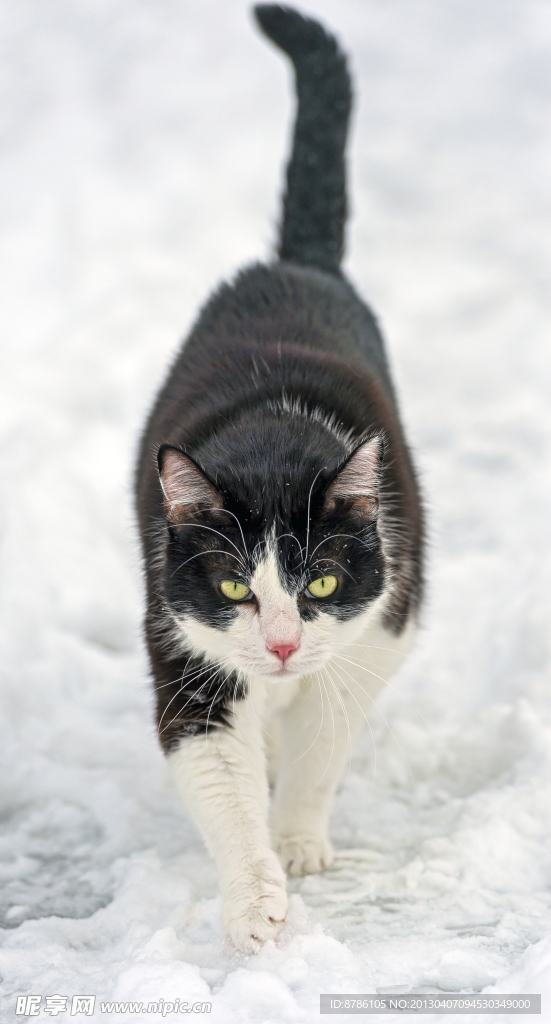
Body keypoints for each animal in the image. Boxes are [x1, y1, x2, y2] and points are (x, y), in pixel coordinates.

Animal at [135, 4, 421, 954]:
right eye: (233, 585)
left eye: (322, 581)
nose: (286, 644)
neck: (272, 436)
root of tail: (290, 265)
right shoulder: (179, 632)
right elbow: (216, 767)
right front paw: (255, 901)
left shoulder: (378, 626)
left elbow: (323, 742)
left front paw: (295, 841)